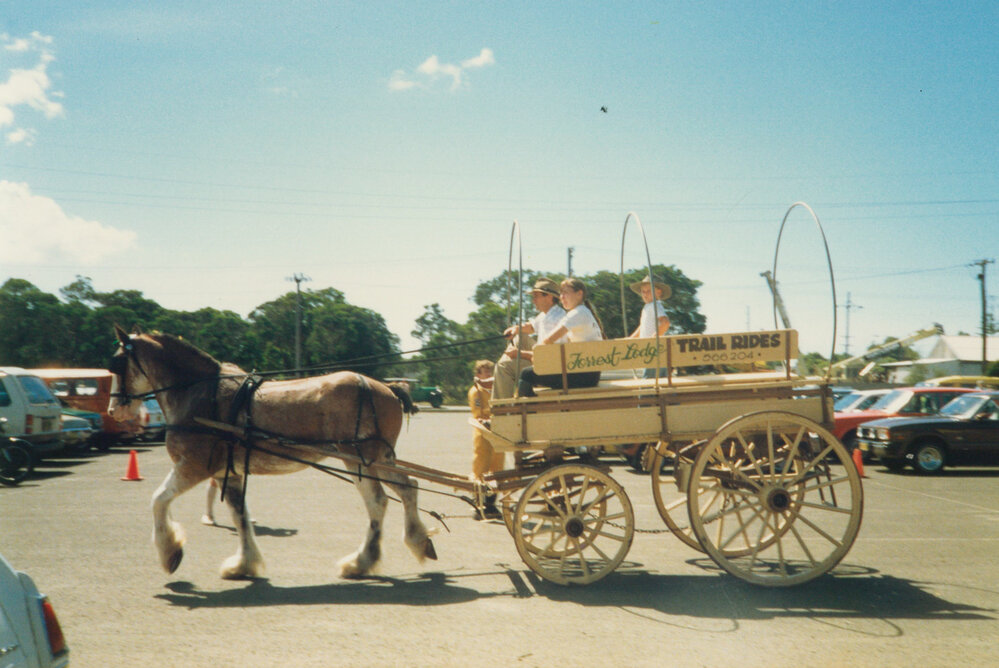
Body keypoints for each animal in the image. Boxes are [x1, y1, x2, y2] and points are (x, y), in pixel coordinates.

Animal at [106, 325, 437, 580]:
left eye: (117, 365)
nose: (113, 410)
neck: (199, 393)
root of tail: (386, 387)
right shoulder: (228, 473)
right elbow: (239, 516)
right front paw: (243, 564)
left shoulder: (193, 466)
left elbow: (158, 500)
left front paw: (170, 553)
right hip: (376, 459)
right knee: (404, 490)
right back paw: (409, 545)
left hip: (361, 459)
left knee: (381, 500)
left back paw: (363, 560)